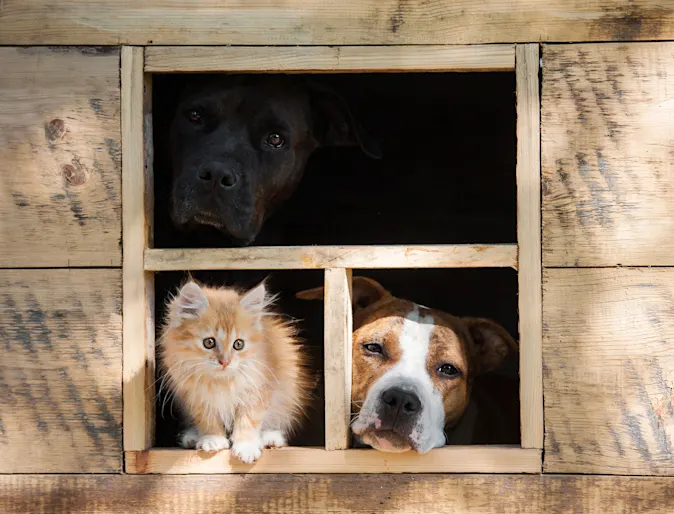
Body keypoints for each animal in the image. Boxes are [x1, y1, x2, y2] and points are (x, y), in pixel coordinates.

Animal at [159, 278, 312, 462]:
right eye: (209, 342)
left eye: (238, 344)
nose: (225, 361)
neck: (221, 381)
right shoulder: (194, 396)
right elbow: (207, 418)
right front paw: (213, 439)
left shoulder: (257, 390)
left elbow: (249, 419)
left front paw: (246, 446)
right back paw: (192, 437)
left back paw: (269, 438)